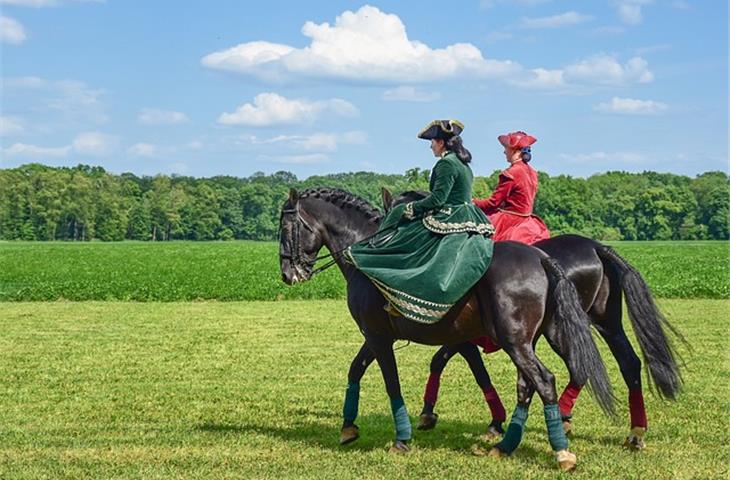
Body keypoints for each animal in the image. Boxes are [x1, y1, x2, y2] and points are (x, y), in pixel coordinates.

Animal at [278, 187, 616, 468]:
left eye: (285, 228)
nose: (286, 274)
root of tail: (543, 258)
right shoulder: (381, 336)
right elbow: (356, 370)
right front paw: (349, 427)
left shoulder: (380, 336)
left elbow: (393, 382)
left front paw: (403, 437)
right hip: (542, 336)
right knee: (535, 383)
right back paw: (508, 445)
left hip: (517, 342)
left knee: (545, 380)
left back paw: (561, 451)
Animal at [386, 188, 684, 450]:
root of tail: (597, 247)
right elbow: (451, 363)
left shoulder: (463, 335)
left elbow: (455, 365)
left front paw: (435, 414)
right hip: (606, 323)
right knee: (628, 363)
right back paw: (634, 432)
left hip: (564, 329)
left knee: (580, 367)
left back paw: (562, 416)